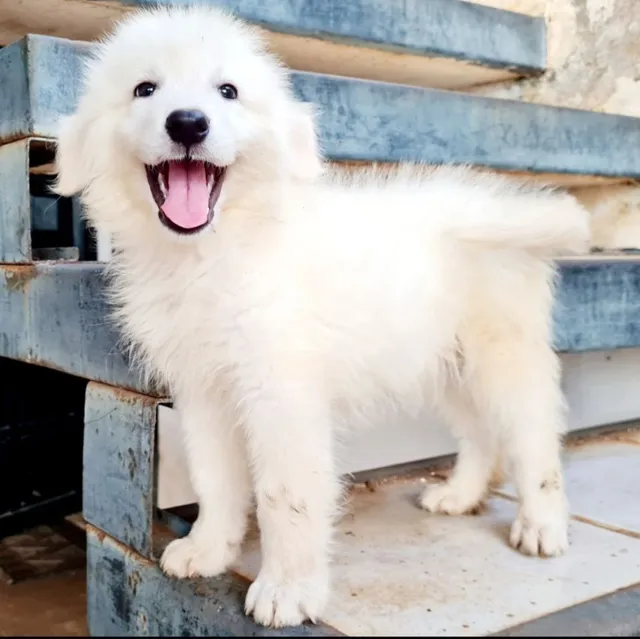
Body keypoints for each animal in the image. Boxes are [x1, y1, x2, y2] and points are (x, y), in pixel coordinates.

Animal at [55, 5, 592, 632]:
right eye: (145, 89)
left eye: (228, 91)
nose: (188, 124)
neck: (214, 251)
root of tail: (493, 206)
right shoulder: (203, 389)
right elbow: (214, 477)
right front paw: (209, 550)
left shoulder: (282, 393)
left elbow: (285, 495)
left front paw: (288, 590)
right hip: (444, 362)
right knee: (480, 433)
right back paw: (460, 495)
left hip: (500, 356)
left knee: (534, 438)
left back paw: (542, 524)